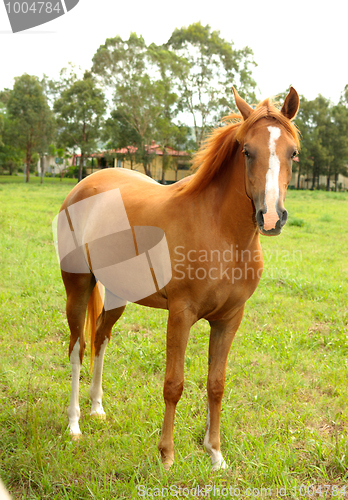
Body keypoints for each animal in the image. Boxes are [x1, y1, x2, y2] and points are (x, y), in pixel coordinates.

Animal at [56, 89, 300, 468]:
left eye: (293, 153)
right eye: (247, 150)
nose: (271, 217)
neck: (222, 234)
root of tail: (84, 185)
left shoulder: (229, 319)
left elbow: (216, 384)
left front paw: (215, 454)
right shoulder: (181, 314)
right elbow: (174, 384)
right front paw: (167, 455)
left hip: (117, 295)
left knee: (100, 339)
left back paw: (96, 408)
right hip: (78, 288)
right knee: (78, 349)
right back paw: (74, 424)